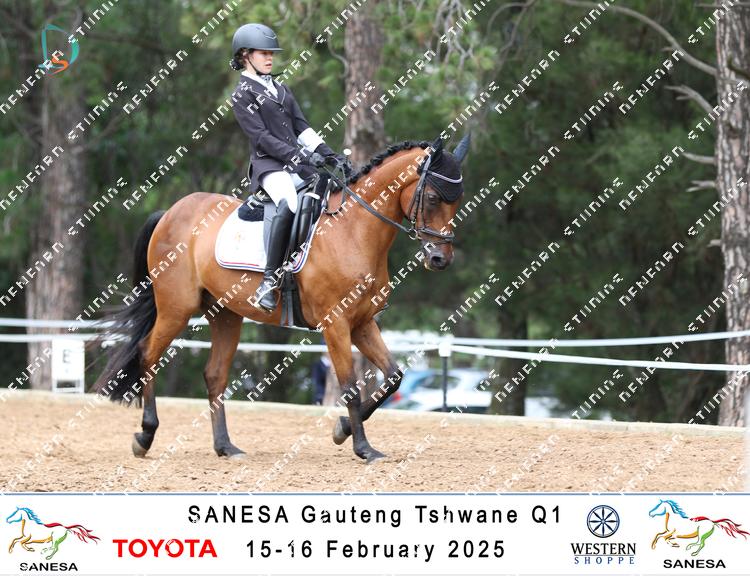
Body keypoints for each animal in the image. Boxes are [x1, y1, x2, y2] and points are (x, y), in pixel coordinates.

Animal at [92, 134, 470, 464]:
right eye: (433, 198)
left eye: (457, 200)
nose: (441, 259)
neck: (353, 230)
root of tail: (171, 212)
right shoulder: (336, 323)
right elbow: (349, 387)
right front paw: (364, 449)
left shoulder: (362, 322)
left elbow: (393, 377)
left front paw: (341, 429)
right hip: (176, 309)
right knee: (148, 355)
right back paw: (145, 436)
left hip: (225, 314)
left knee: (214, 375)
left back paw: (225, 447)